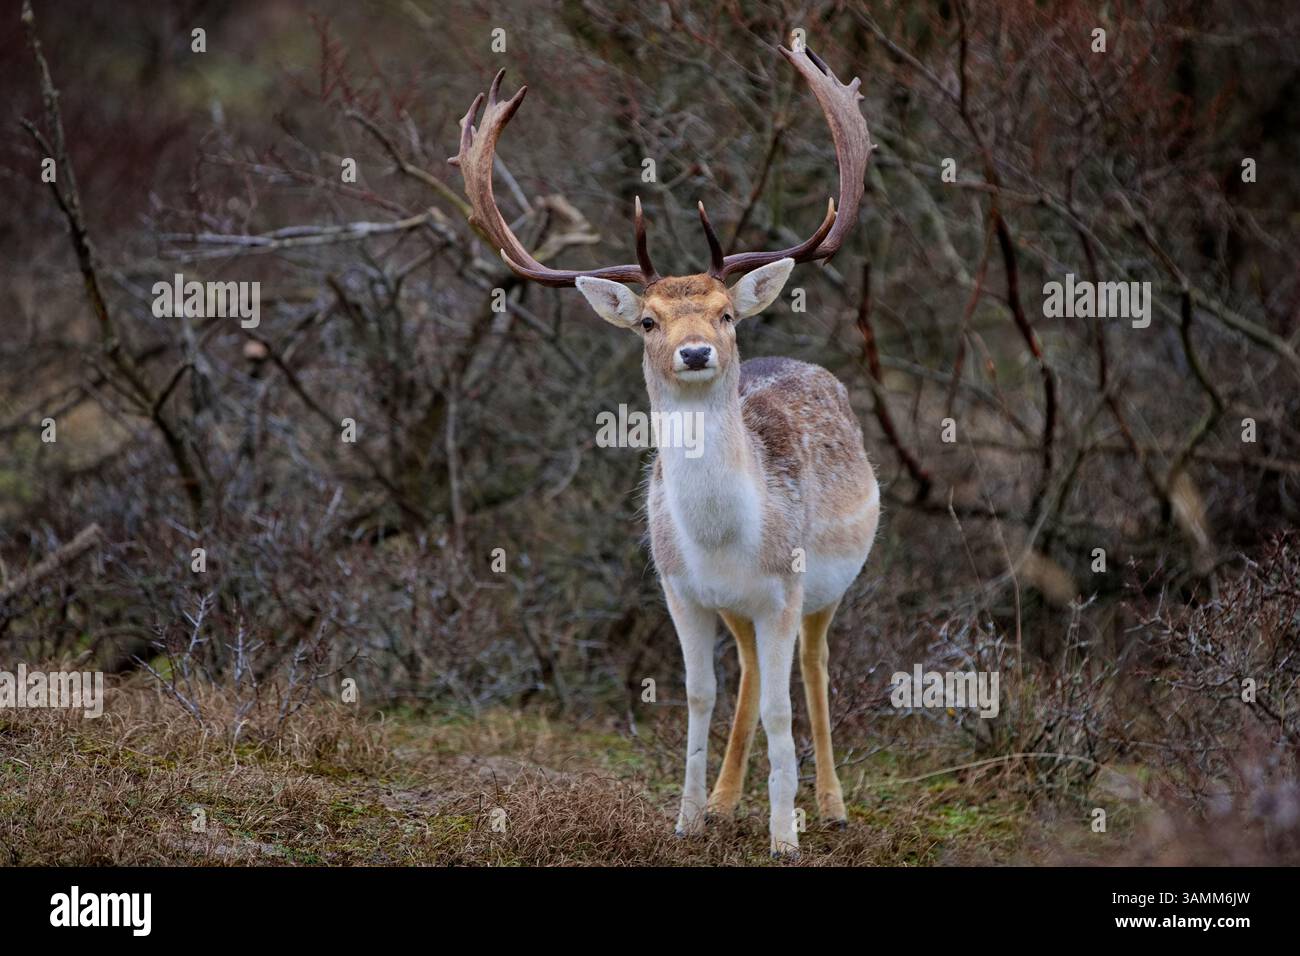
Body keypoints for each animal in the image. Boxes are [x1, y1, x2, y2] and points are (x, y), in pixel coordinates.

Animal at [451, 45, 877, 856]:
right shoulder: (679, 590)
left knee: (810, 669)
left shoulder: (785, 587)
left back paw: (833, 806)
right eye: (647, 320)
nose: (696, 351)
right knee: (748, 673)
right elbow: (699, 696)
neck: (724, 537)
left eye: (725, 312)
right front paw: (685, 821)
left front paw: (784, 839)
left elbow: (781, 708)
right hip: (737, 611)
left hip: (830, 586)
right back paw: (723, 801)